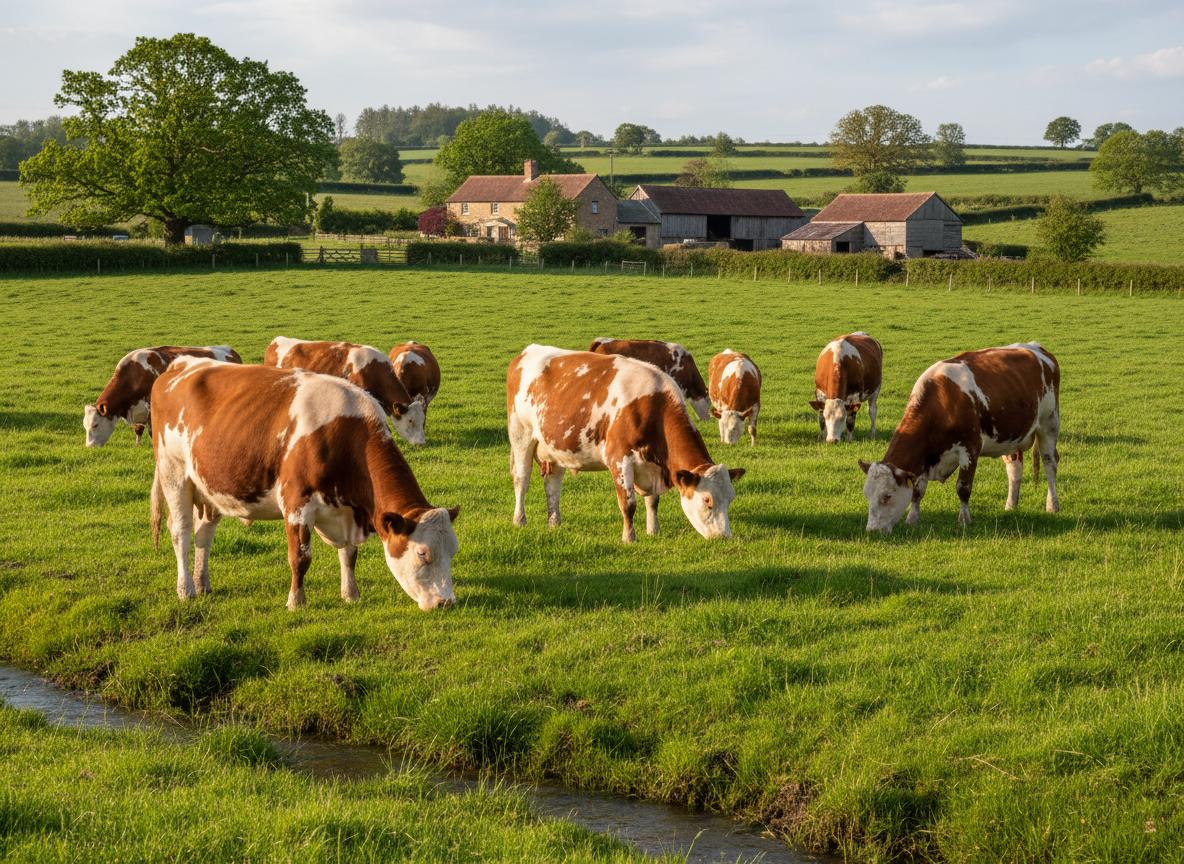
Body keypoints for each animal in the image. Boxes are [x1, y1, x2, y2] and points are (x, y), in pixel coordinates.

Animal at [84, 345, 241, 447]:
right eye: (85, 426)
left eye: (95, 425)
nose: (89, 447)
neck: (135, 375)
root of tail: (230, 350)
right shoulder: (138, 409)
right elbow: (138, 430)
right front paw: (137, 446)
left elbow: (152, 432)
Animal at [149, 358, 458, 610]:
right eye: (423, 554)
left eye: (453, 551)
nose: (446, 602)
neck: (346, 434)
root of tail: (180, 365)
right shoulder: (297, 503)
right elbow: (300, 557)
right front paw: (296, 601)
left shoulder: (346, 512)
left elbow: (349, 554)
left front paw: (351, 594)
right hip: (174, 473)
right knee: (181, 532)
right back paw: (186, 589)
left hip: (210, 487)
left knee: (204, 533)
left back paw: (202, 583)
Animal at [507, 345, 744, 543]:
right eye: (707, 500)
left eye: (730, 499)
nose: (724, 537)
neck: (653, 407)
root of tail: (527, 351)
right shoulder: (619, 459)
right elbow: (628, 504)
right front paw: (629, 537)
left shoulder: (653, 465)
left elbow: (652, 501)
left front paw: (653, 530)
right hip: (521, 434)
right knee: (521, 479)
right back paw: (519, 520)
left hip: (554, 448)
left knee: (553, 485)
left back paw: (554, 522)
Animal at [859, 342, 1060, 534]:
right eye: (867, 495)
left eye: (887, 496)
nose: (872, 530)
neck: (942, 401)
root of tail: (1037, 348)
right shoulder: (924, 458)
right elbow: (918, 491)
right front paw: (912, 519)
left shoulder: (970, 449)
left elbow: (963, 488)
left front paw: (964, 520)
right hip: (1011, 436)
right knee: (1014, 468)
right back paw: (1010, 505)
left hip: (1049, 424)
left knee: (1050, 463)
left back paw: (1052, 505)